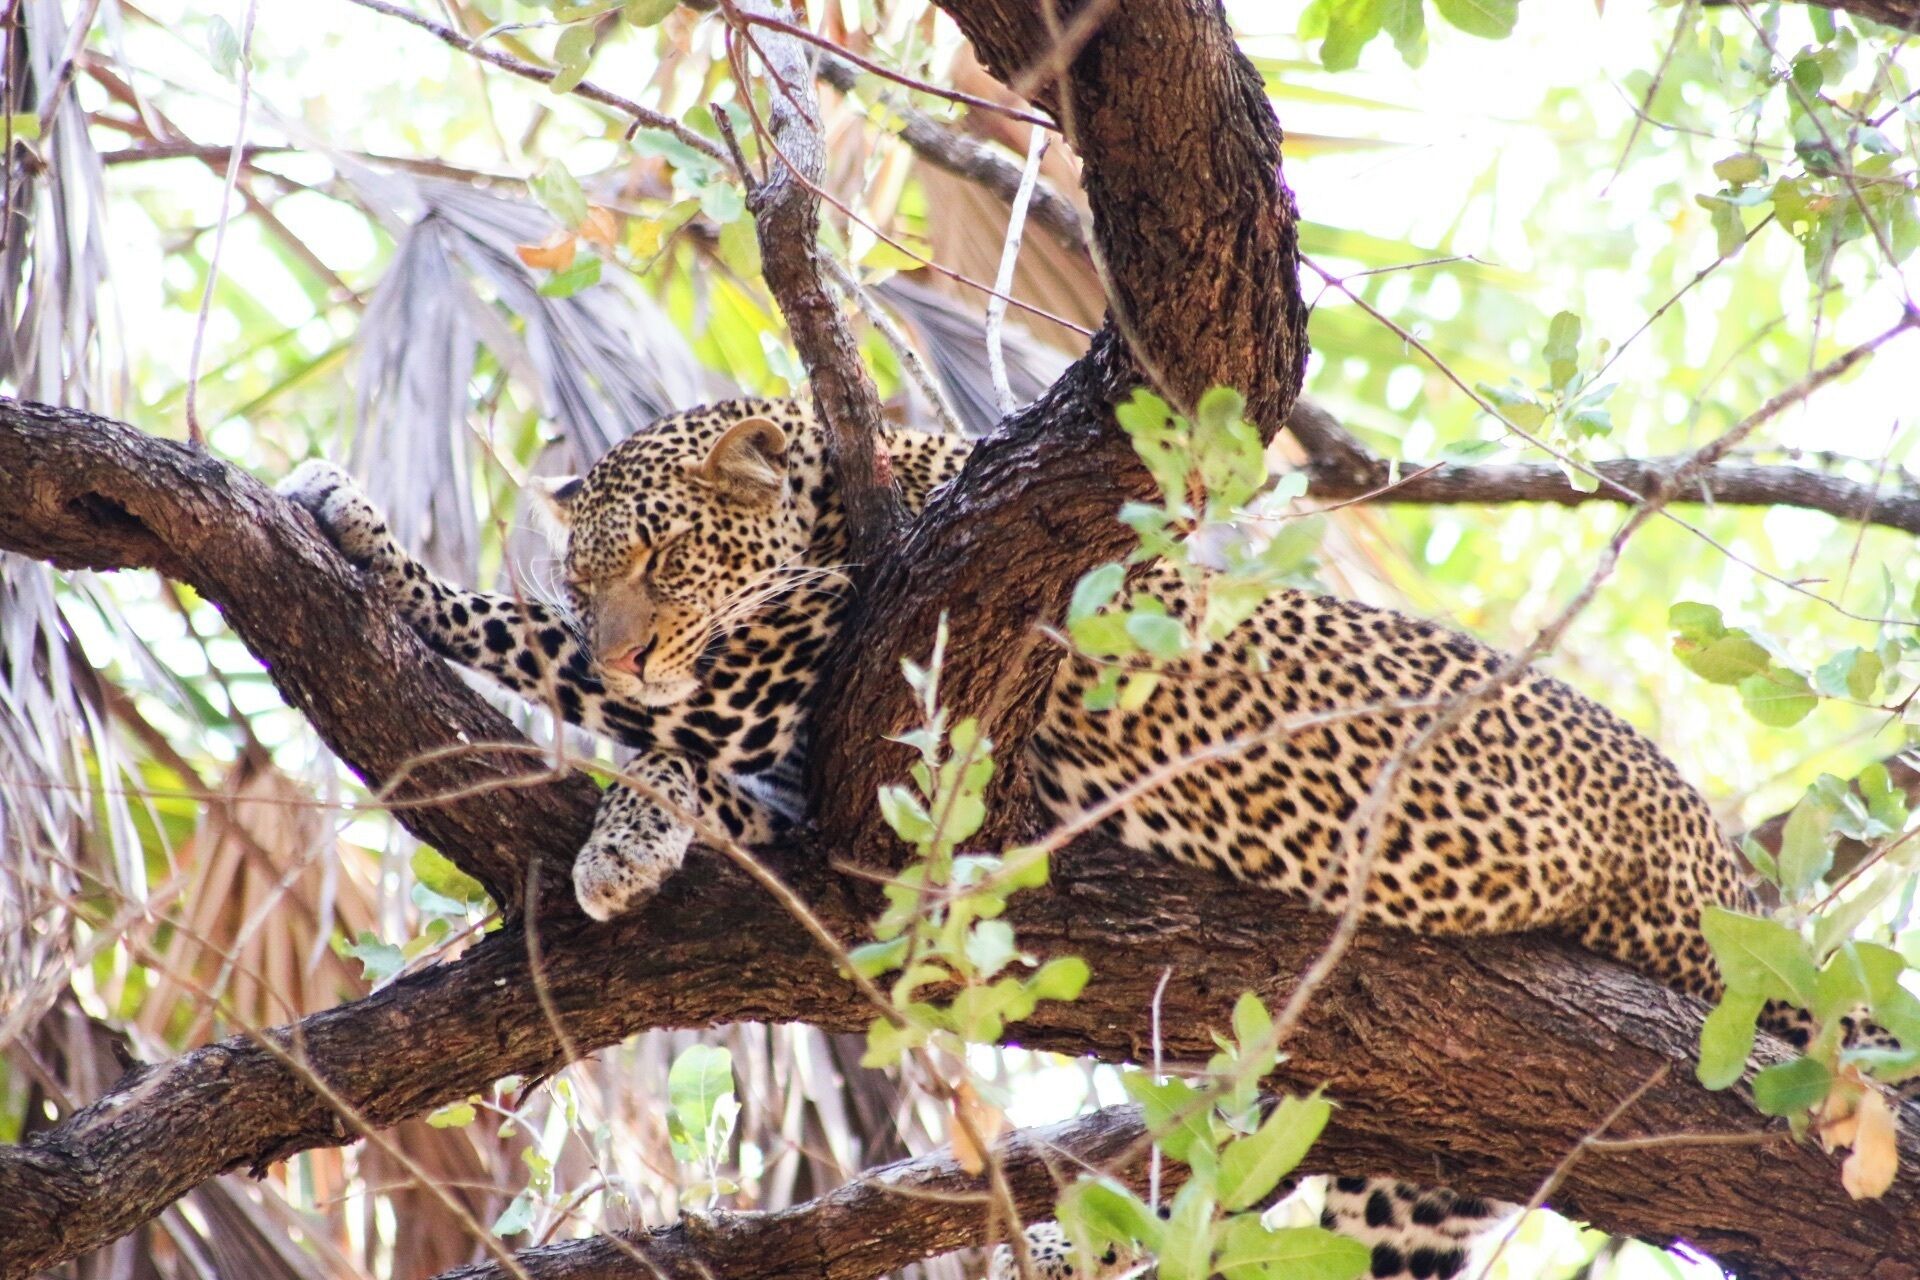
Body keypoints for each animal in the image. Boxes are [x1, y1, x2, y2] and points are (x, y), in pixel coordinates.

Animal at [279, 396, 1835, 1280]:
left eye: (662, 561)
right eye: (587, 568)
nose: (632, 641)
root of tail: (1734, 871)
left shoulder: (793, 696)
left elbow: (559, 671)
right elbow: (602, 698)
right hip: (1415, 1185)